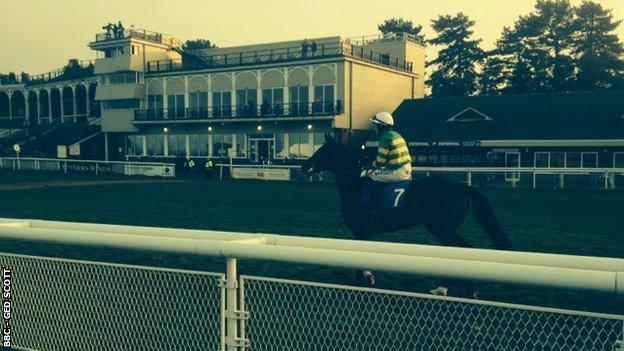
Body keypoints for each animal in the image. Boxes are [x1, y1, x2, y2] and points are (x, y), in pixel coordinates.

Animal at [302, 134, 512, 296]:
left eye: (322, 151)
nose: (304, 167)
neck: (357, 187)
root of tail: (461, 187)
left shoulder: (358, 230)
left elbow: (359, 260)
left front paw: (359, 283)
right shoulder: (364, 232)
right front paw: (369, 277)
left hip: (441, 228)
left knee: (462, 250)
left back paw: (470, 290)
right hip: (447, 229)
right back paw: (442, 288)